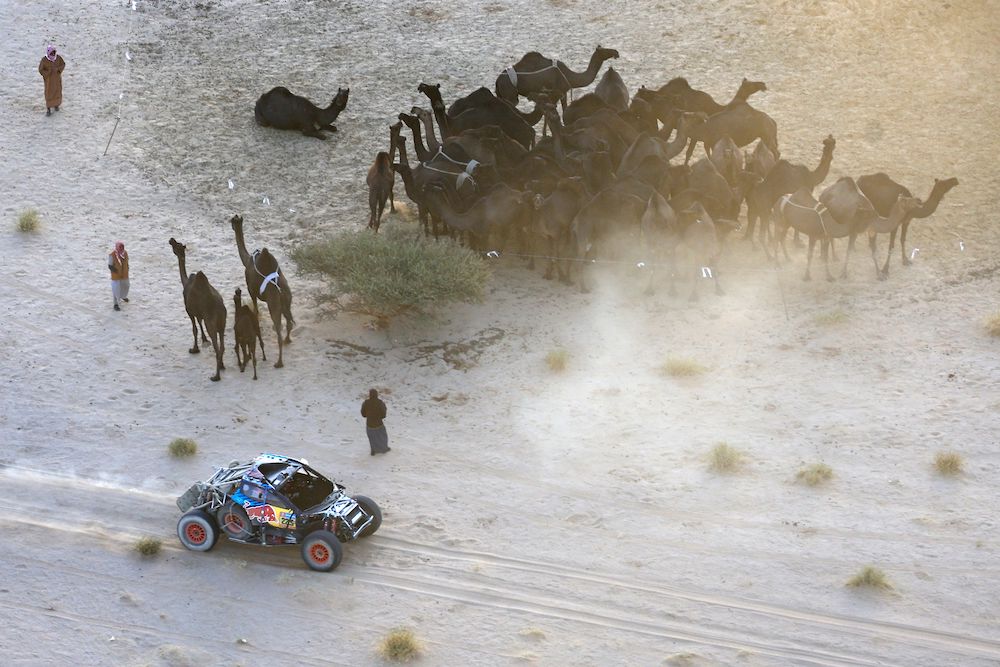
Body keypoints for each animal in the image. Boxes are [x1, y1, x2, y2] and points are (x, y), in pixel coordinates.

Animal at [168, 238, 227, 382]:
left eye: (177, 245)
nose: (171, 239)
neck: (185, 282)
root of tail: (221, 309)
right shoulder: (199, 312)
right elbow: (199, 323)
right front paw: (204, 339)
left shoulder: (188, 309)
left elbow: (194, 328)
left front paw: (194, 349)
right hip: (222, 323)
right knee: (222, 346)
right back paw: (222, 365)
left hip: (211, 323)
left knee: (217, 347)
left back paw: (215, 376)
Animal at [230, 215, 294, 368]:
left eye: (232, 221)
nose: (233, 225)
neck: (247, 260)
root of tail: (281, 292)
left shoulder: (251, 289)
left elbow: (256, 308)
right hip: (287, 302)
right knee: (289, 323)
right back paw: (287, 340)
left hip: (274, 306)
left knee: (279, 330)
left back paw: (278, 362)